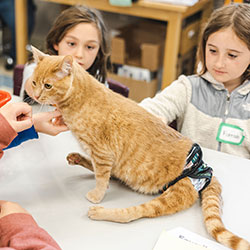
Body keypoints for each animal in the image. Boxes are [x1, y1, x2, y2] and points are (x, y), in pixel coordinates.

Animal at [30, 47, 248, 250]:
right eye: (33, 82)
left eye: (48, 85)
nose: (36, 95)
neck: (78, 99)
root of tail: (205, 168)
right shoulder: (103, 157)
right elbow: (102, 174)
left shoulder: (102, 153)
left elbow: (101, 179)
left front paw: (96, 196)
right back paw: (76, 158)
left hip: (172, 194)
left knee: (131, 213)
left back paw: (100, 212)